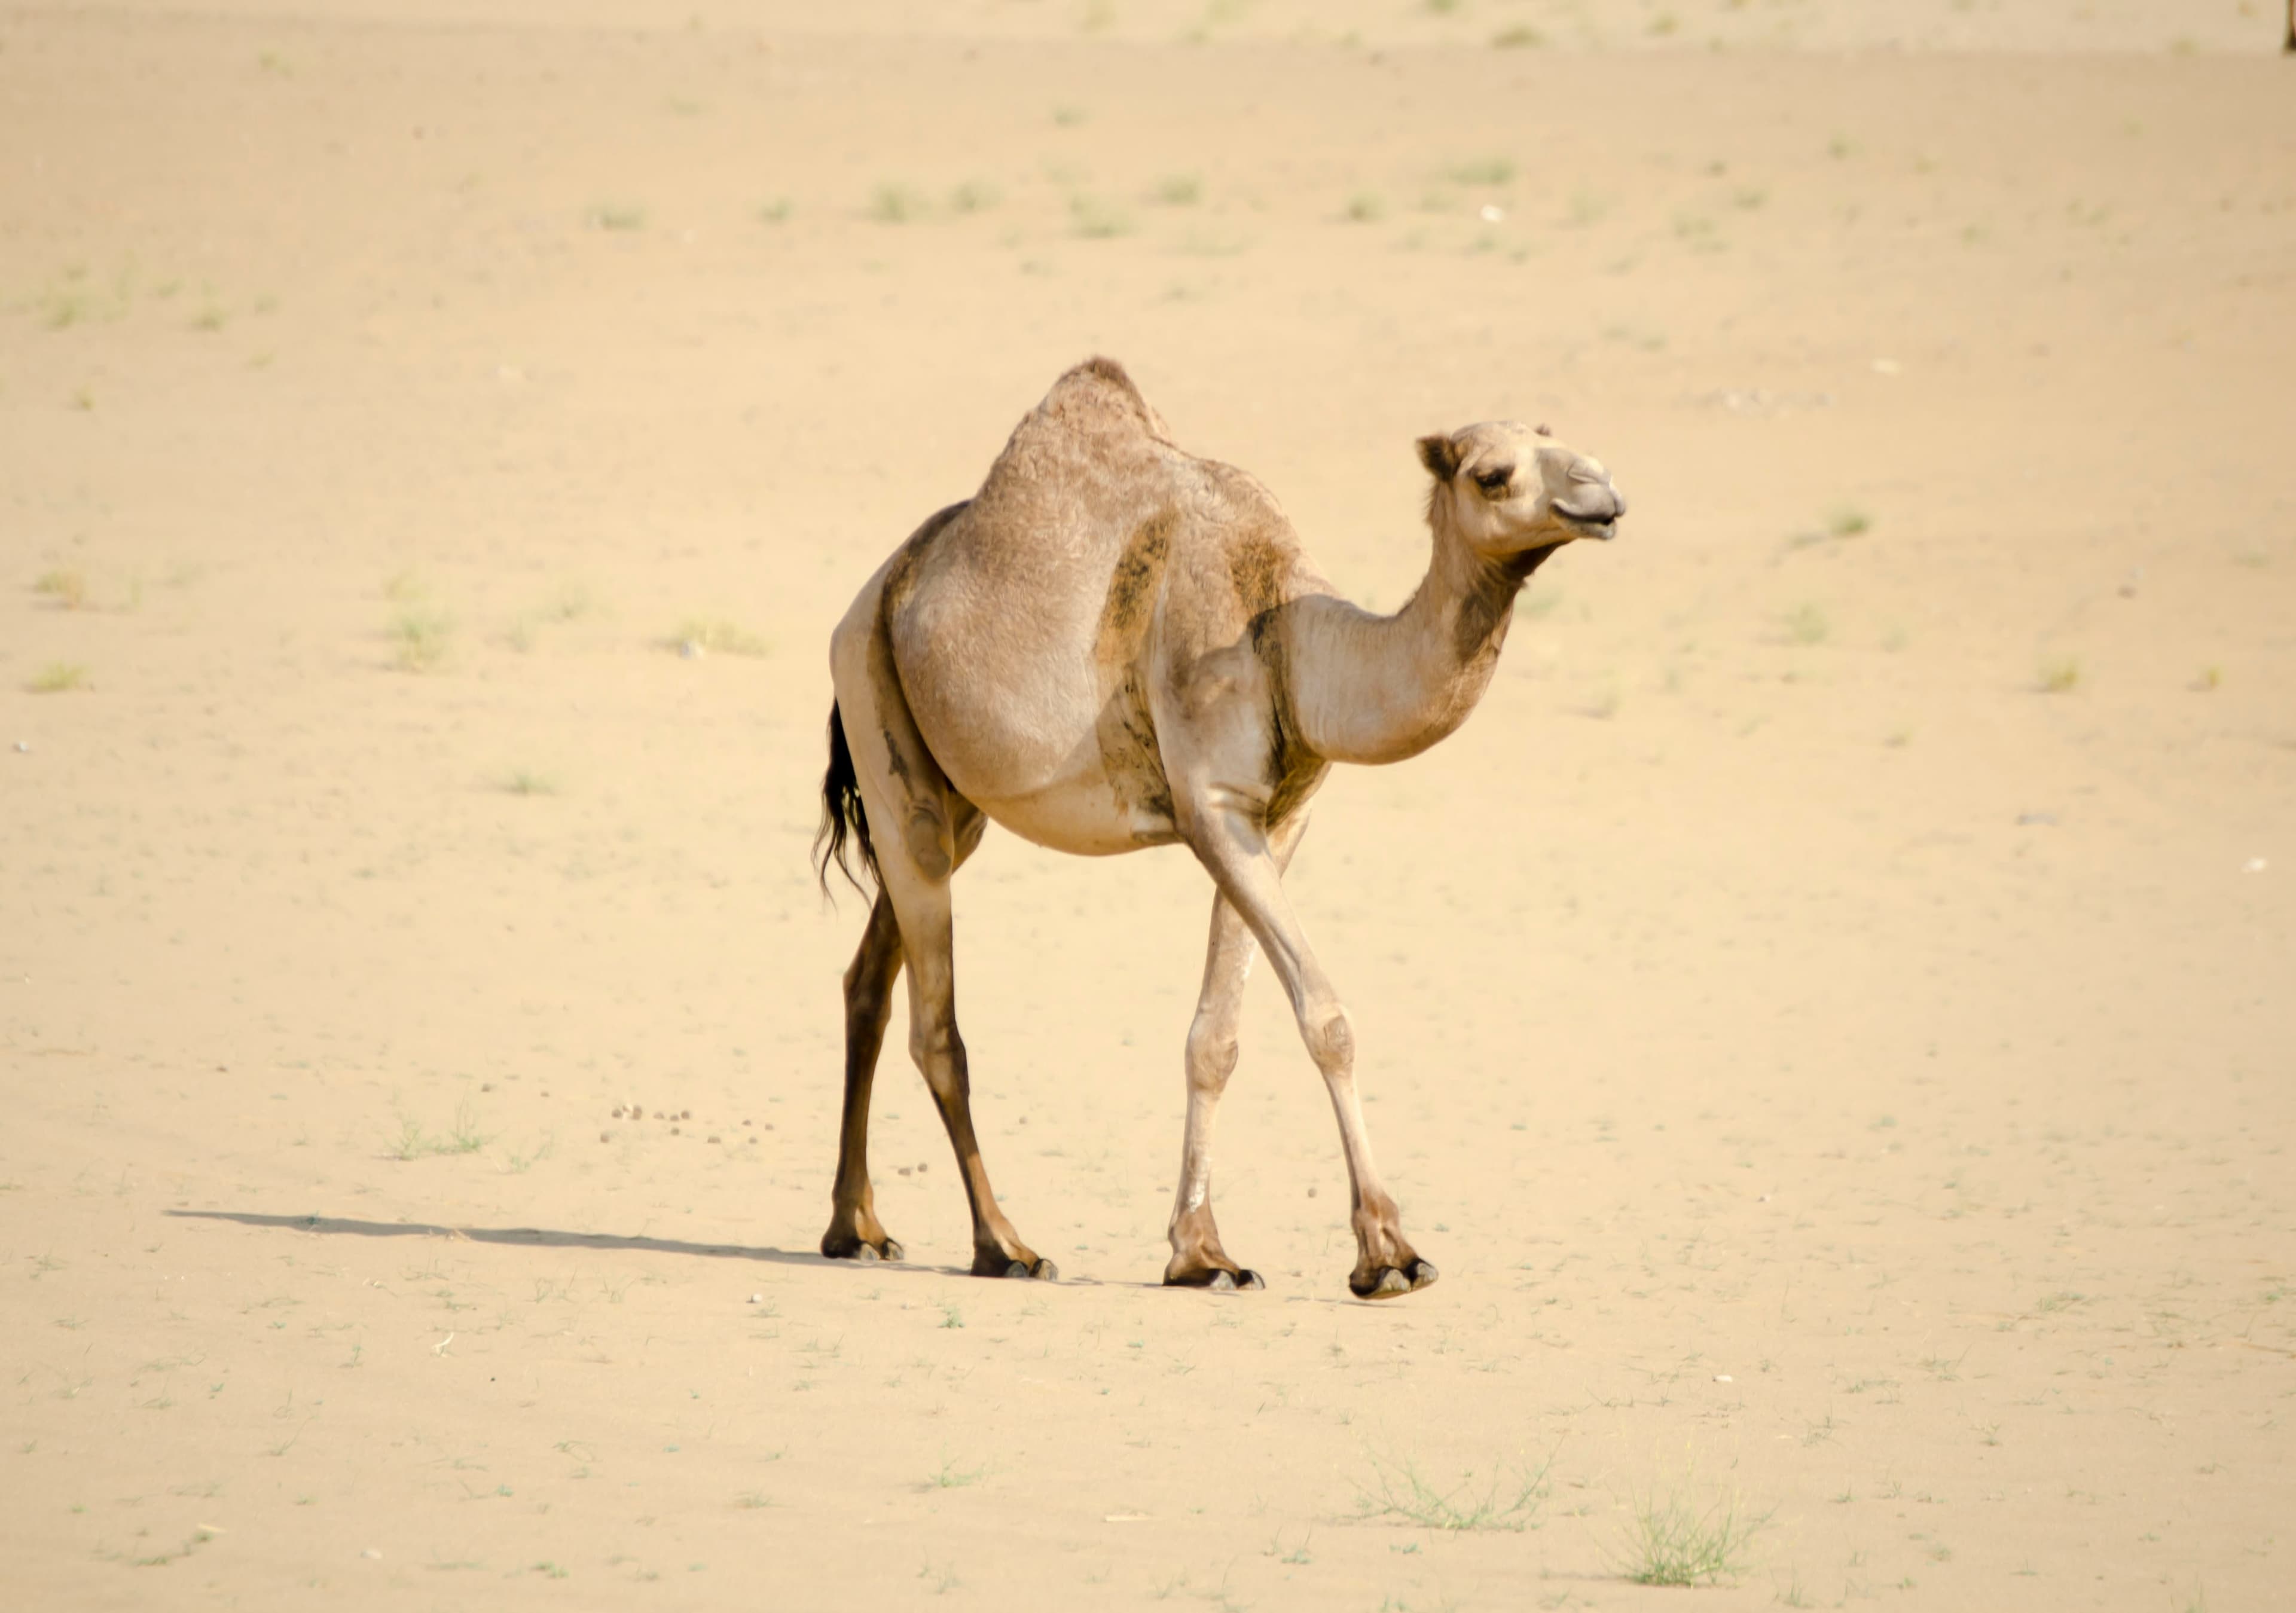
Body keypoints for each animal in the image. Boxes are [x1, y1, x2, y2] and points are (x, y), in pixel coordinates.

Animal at [813, 358, 1623, 1299]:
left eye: (1562, 442)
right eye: (1493, 474)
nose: (1603, 494)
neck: (1288, 638)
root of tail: (873, 592)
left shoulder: (1277, 818)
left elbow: (1217, 1039)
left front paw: (1203, 1254)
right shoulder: (1215, 805)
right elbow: (1326, 1015)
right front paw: (1389, 1252)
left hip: (950, 797)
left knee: (867, 978)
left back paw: (857, 1228)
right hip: (876, 708)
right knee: (937, 1025)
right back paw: (1003, 1244)